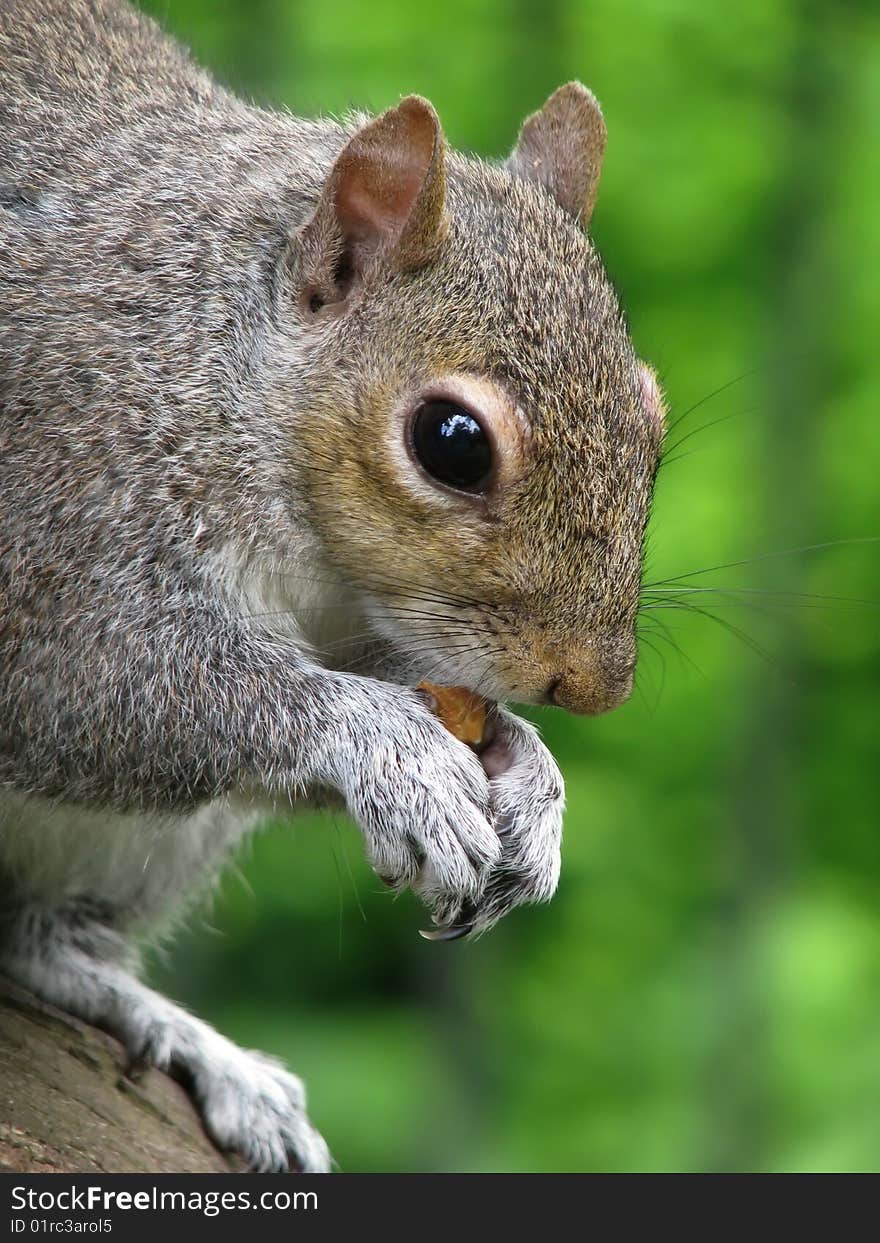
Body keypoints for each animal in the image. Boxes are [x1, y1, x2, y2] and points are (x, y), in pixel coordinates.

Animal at [0, 0, 661, 1168]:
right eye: (451, 442)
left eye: (654, 419)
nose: (590, 687)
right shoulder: (54, 490)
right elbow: (86, 681)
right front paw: (386, 747)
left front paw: (531, 778)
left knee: (33, 945)